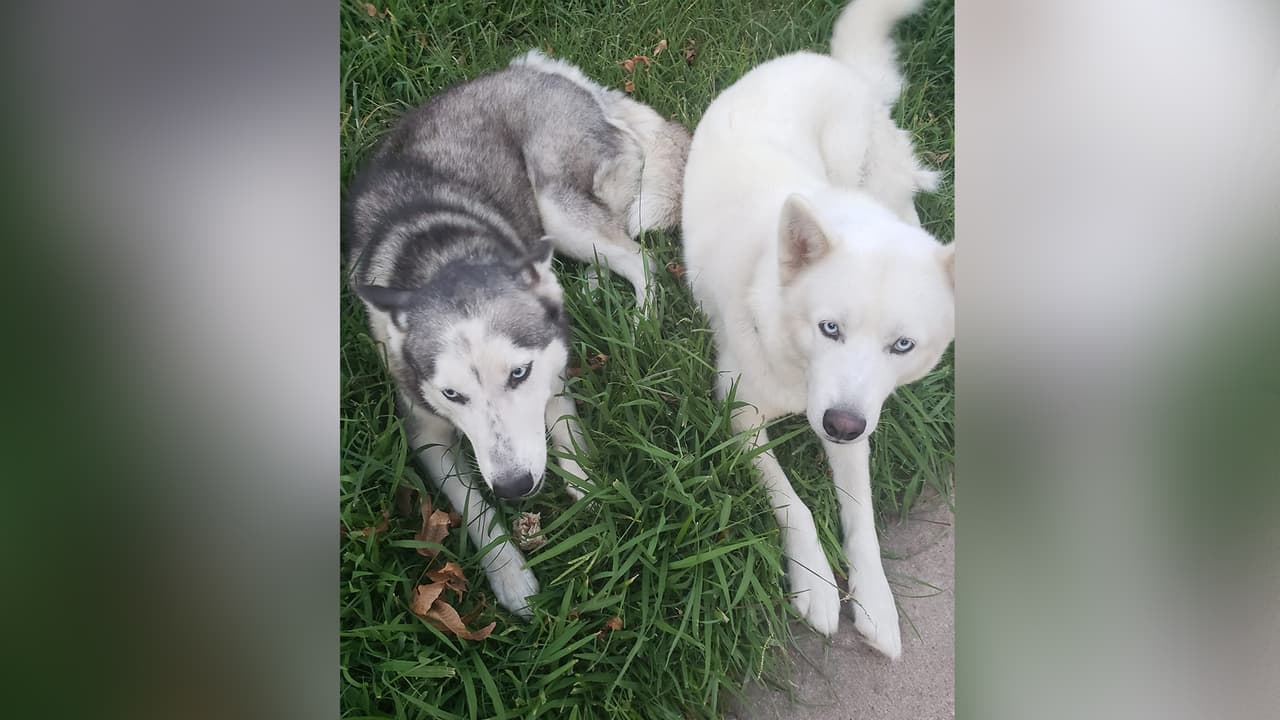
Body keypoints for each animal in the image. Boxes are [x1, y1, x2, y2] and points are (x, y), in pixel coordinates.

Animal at [344, 51, 689, 616]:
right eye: (452, 394)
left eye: (519, 374)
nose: (514, 487)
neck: (444, 257)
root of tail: (546, 72)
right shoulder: (426, 432)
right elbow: (473, 506)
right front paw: (511, 576)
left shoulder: (551, 378)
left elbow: (568, 441)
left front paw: (593, 501)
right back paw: (587, 290)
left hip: (557, 205)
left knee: (638, 256)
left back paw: (639, 320)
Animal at [680, 0, 954, 659]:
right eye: (829, 328)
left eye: (902, 345)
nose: (841, 424)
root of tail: (831, 65)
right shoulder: (738, 416)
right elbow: (795, 503)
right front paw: (817, 584)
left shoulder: (854, 422)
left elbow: (863, 518)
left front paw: (875, 600)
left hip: (862, 163)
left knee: (907, 206)